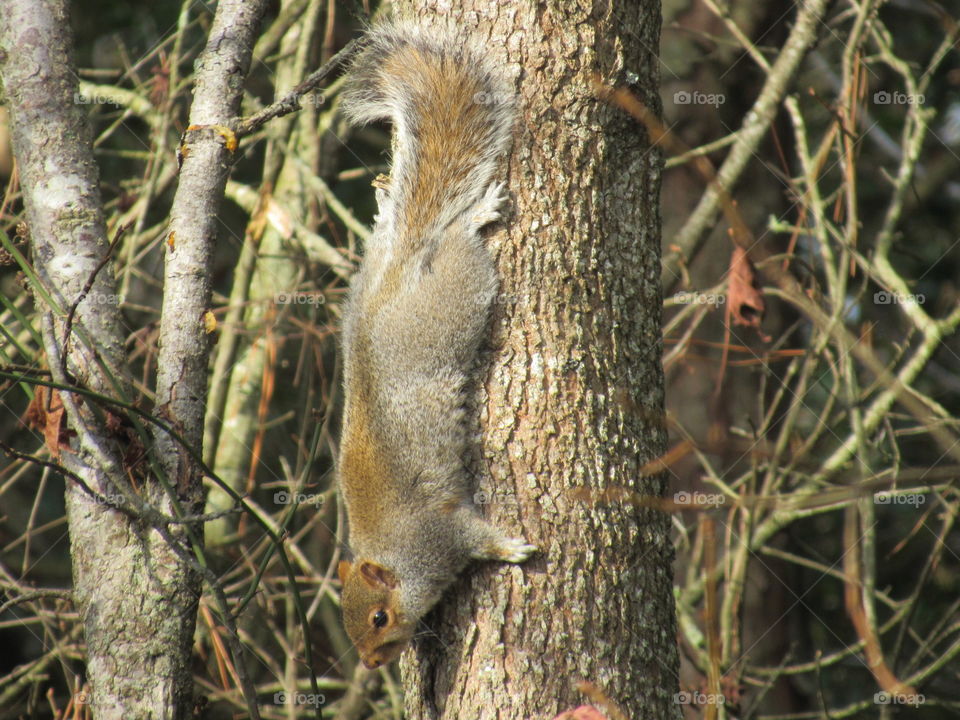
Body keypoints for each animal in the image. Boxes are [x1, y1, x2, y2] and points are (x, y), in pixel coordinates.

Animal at [335, 20, 536, 670]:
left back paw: (474, 215)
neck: (398, 556)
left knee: (457, 238)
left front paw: (512, 550)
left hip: (458, 290)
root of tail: (398, 272)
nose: (373, 664)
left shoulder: (441, 534)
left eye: (379, 617)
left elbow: (478, 537)